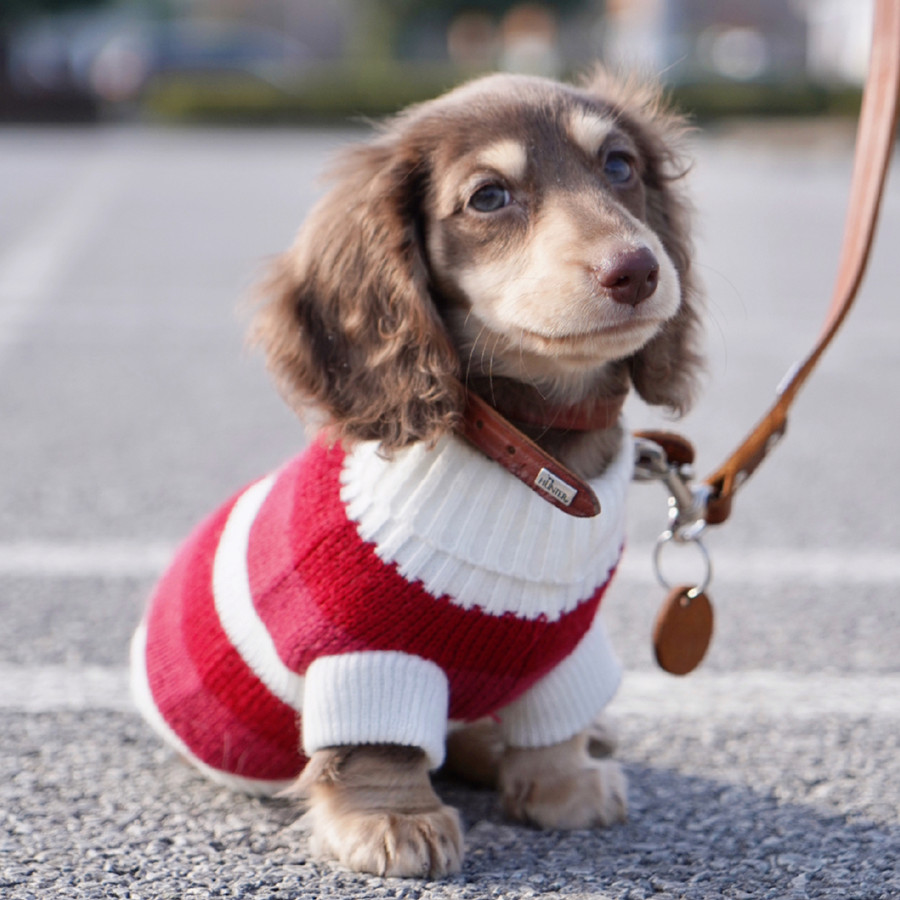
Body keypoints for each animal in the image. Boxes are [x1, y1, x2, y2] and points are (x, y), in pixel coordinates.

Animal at [130, 68, 704, 880]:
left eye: (619, 165)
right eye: (489, 196)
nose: (637, 269)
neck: (530, 449)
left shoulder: (563, 650)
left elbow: (555, 724)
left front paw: (564, 782)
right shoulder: (366, 653)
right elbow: (377, 747)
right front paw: (393, 820)